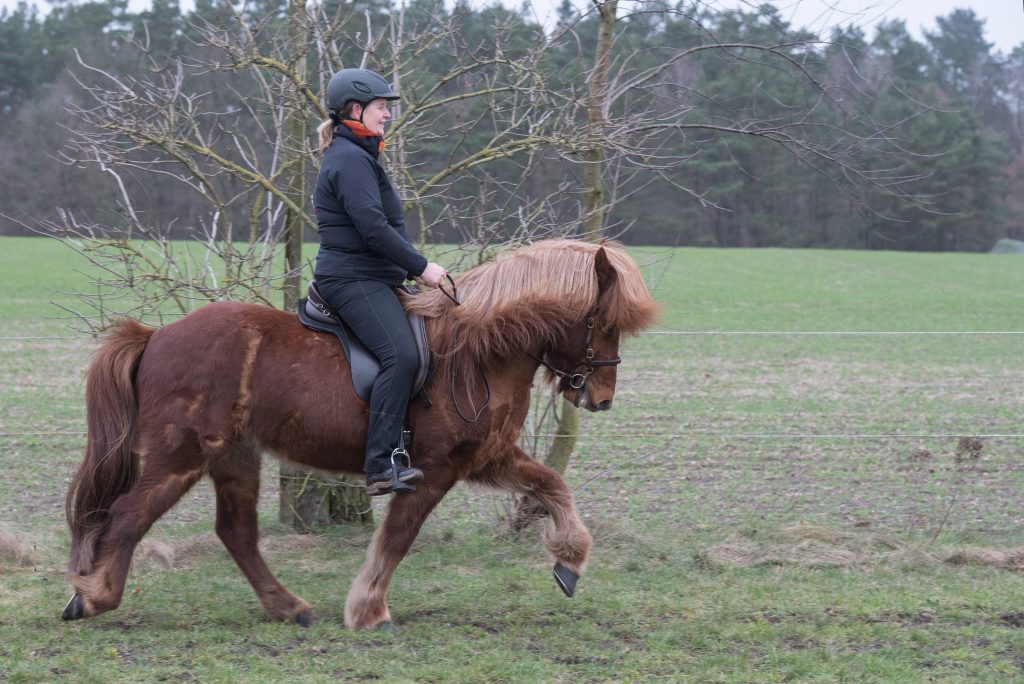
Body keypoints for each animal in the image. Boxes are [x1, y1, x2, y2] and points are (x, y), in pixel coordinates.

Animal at [61, 239, 655, 630]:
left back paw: (290, 608)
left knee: (236, 532)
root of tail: (155, 335)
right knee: (127, 516)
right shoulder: (433, 469)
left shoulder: (485, 457)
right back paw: (94, 596)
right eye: (602, 321)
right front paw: (370, 611)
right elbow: (397, 538)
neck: (477, 351)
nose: (600, 398)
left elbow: (553, 485)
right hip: (181, 456)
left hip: (236, 457)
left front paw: (570, 562)